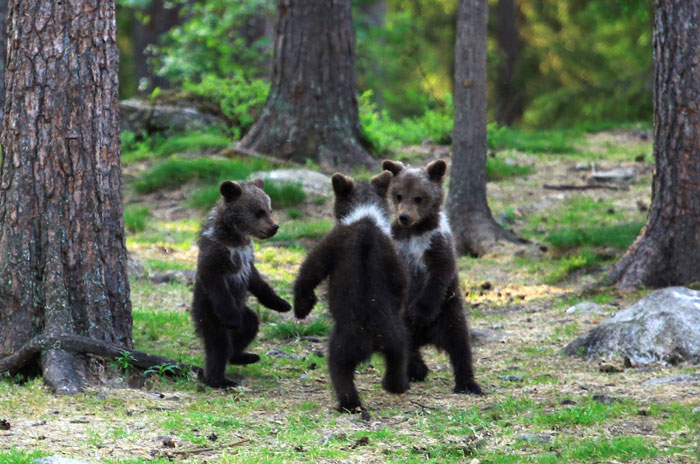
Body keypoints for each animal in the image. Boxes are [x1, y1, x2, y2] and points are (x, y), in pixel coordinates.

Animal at [191, 178, 291, 388]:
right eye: (259, 212)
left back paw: (242, 356)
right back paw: (219, 380)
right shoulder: (216, 258)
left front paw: (282, 304)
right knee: (218, 343)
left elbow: (258, 282)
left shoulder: (247, 258)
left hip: (244, 311)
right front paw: (232, 319)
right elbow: (217, 284)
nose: (275, 226)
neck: (235, 237)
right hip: (209, 313)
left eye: (269, 209)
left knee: (250, 325)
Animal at [293, 171, 410, 412]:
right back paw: (396, 385)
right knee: (399, 357)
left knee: (339, 370)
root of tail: (371, 337)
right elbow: (401, 282)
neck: (365, 216)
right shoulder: (392, 255)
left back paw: (348, 403)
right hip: (396, 335)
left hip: (343, 342)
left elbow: (310, 270)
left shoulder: (332, 242)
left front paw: (302, 306)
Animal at [382, 159, 482, 395]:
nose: (404, 217)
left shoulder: (437, 243)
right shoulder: (397, 246)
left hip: (448, 312)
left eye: (419, 197)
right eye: (399, 195)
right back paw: (415, 370)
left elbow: (439, 274)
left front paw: (421, 311)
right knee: (405, 349)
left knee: (460, 345)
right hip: (401, 325)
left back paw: (467, 383)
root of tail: (426, 338)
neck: (415, 231)